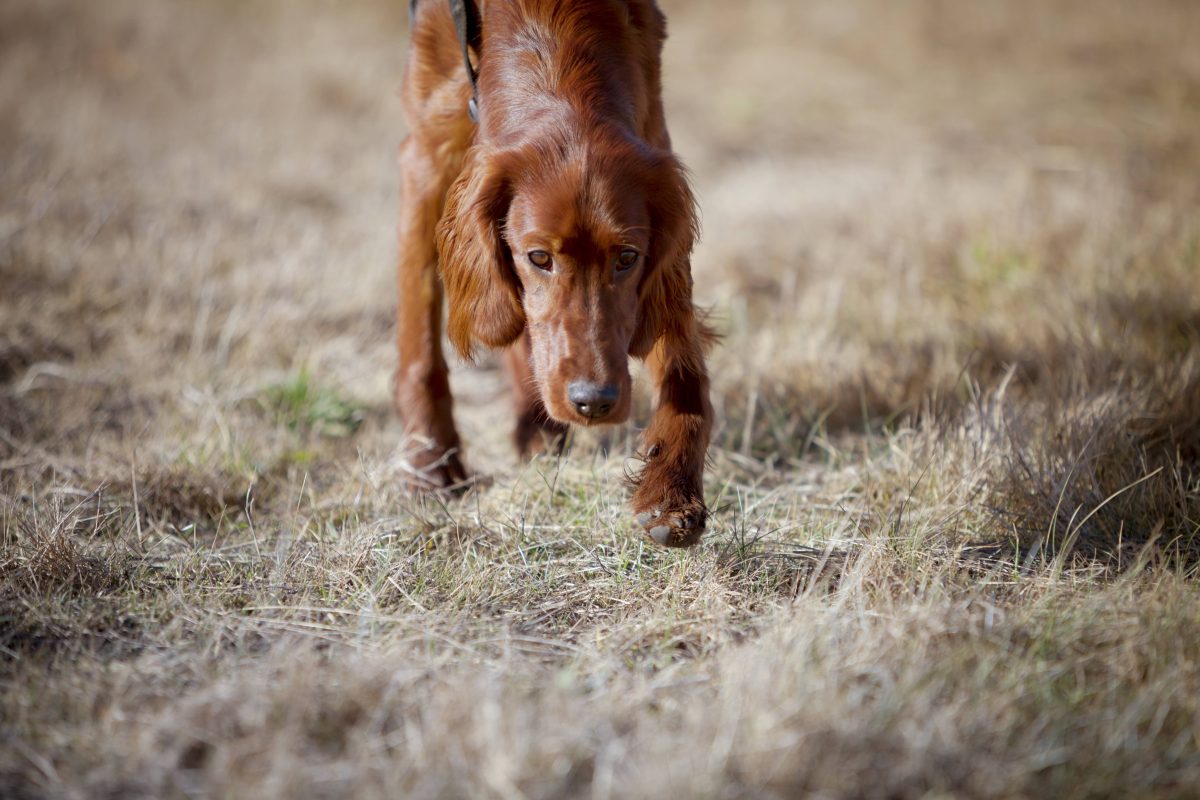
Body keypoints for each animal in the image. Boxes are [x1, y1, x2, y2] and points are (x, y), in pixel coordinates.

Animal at [393, 0, 710, 544]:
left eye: (628, 257)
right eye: (539, 257)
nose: (594, 402)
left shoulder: (655, 142)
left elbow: (680, 358)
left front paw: (671, 490)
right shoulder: (426, 158)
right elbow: (421, 340)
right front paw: (430, 464)